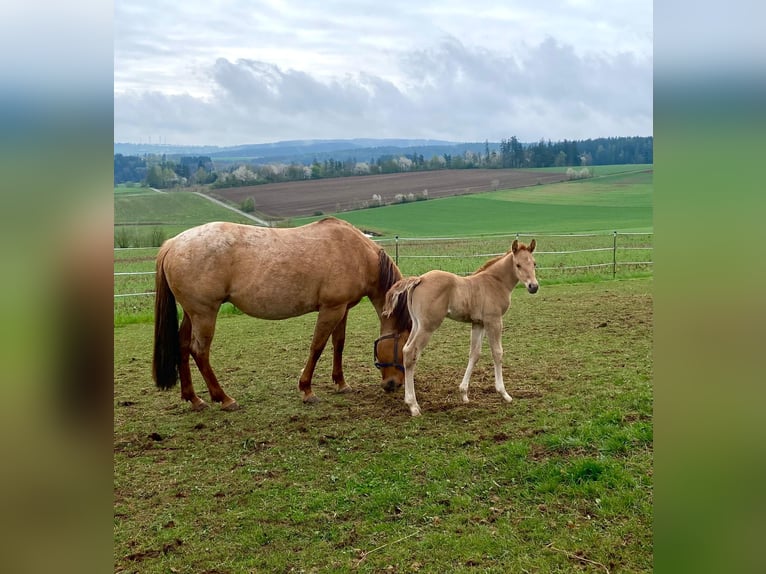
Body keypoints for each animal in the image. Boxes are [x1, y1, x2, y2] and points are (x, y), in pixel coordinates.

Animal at [152, 217, 411, 411]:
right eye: (404, 345)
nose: (394, 384)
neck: (357, 254)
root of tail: (173, 244)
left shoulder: (342, 308)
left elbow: (338, 344)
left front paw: (341, 383)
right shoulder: (331, 309)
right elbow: (317, 347)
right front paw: (307, 390)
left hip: (192, 314)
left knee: (182, 346)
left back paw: (194, 399)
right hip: (204, 314)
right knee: (199, 351)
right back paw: (224, 398)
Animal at [382, 239, 538, 416]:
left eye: (534, 263)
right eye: (518, 265)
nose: (533, 286)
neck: (495, 282)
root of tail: (419, 279)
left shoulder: (478, 323)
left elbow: (474, 354)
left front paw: (464, 394)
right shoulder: (494, 321)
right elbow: (497, 353)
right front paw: (504, 394)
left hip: (417, 324)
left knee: (405, 350)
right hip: (428, 327)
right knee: (410, 353)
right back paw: (413, 405)